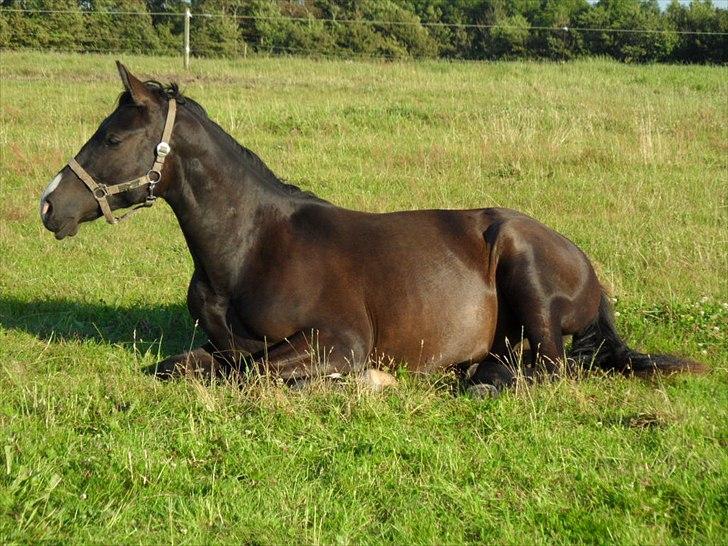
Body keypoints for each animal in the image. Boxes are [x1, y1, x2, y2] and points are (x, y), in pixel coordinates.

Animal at [39, 61, 704, 388]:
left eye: (114, 137)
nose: (49, 205)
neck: (250, 247)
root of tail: (589, 270)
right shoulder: (216, 345)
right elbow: (188, 366)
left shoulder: (342, 340)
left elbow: (255, 375)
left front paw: (362, 384)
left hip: (525, 267)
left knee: (549, 369)